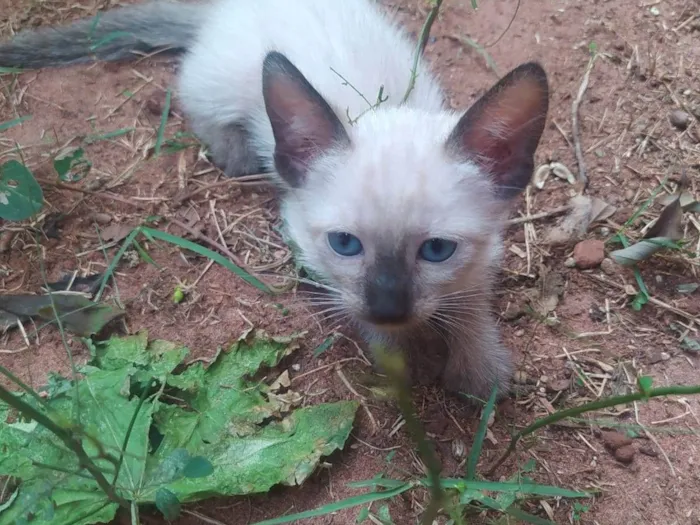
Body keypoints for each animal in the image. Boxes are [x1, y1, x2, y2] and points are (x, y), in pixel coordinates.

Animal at [0, 0, 548, 398]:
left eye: (436, 250)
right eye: (345, 244)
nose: (389, 308)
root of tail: (227, 7)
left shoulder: (485, 251)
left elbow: (470, 303)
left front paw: (480, 374)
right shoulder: (309, 246)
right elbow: (368, 323)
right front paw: (401, 364)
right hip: (216, 93)